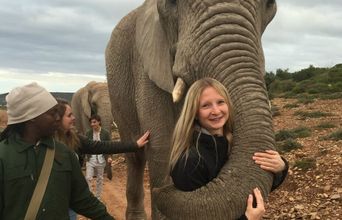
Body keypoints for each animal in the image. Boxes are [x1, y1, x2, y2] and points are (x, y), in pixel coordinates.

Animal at [106, 0, 278, 219]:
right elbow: (163, 145)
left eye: (270, 5)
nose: (160, 190)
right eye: (171, 3)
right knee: (135, 157)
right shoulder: (146, 63)